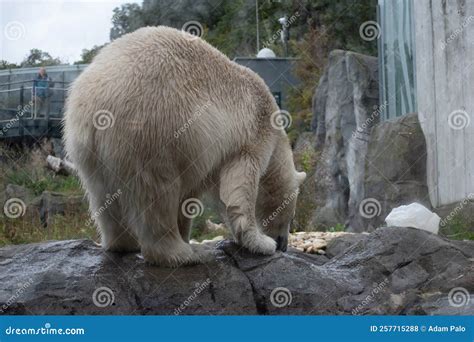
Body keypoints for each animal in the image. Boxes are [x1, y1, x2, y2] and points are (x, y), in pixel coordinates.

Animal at [63, 26, 306, 268]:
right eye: (292, 215)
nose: (283, 244)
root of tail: (94, 107)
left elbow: (196, 196)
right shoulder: (253, 136)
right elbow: (240, 189)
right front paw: (261, 243)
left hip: (87, 150)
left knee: (104, 197)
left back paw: (124, 244)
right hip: (155, 130)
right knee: (157, 195)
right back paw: (189, 253)